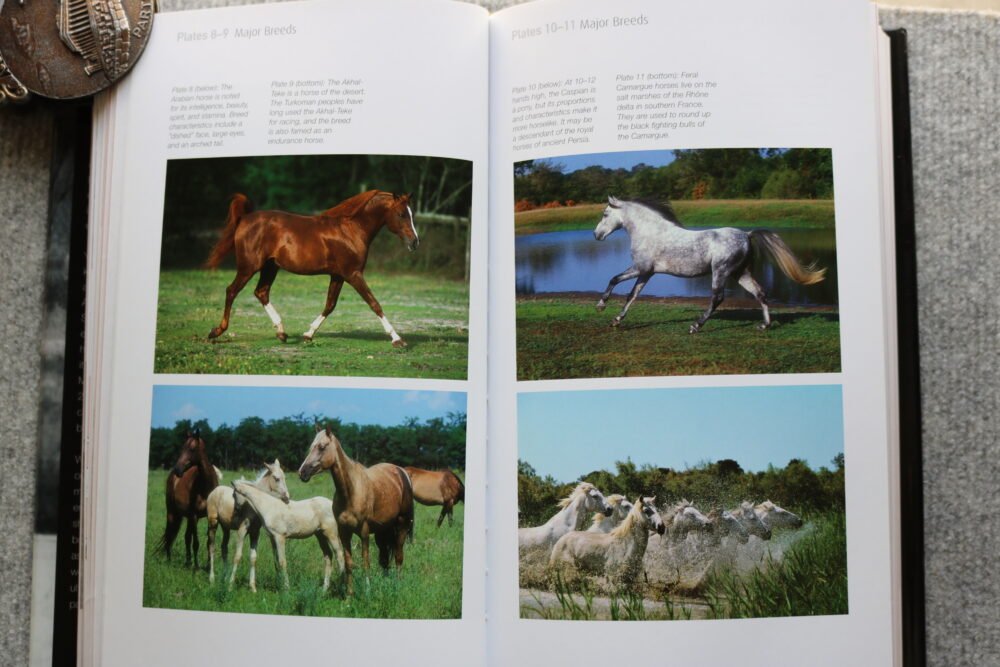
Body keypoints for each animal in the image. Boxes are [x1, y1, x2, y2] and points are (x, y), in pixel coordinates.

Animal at [157, 430, 219, 566]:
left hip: (188, 518)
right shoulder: (194, 516)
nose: (177, 469)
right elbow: (196, 543)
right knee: (170, 535)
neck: (204, 486)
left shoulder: (209, 516)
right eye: (182, 448)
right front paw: (196, 567)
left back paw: (188, 562)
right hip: (173, 513)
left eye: (192, 449)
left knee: (186, 537)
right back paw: (170, 561)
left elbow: (209, 542)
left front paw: (209, 565)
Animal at [205, 190, 418, 347]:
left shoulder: (338, 275)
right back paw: (217, 331)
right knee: (232, 290)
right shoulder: (353, 274)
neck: (351, 230)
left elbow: (330, 305)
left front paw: (308, 335)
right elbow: (374, 303)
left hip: (270, 267)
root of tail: (245, 218)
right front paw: (397, 339)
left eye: (411, 214)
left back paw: (282, 333)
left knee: (261, 292)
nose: (415, 242)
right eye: (401, 214)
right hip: (249, 266)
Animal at [297, 425, 414, 595]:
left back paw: (398, 585)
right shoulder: (344, 532)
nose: (302, 472)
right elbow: (348, 563)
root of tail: (401, 472)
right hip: (382, 531)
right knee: (385, 559)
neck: (351, 491)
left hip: (402, 525)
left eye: (322, 447)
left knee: (398, 555)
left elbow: (366, 562)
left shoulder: (364, 532)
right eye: (311, 446)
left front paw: (367, 591)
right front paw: (349, 594)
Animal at [593, 196, 826, 332]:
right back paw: (764, 325)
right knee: (760, 293)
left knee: (717, 298)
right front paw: (616, 320)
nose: (596, 235)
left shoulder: (640, 268)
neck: (650, 232)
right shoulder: (646, 273)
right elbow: (632, 295)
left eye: (605, 214)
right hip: (740, 273)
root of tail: (746, 235)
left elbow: (614, 279)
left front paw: (601, 306)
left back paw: (696, 326)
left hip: (720, 271)